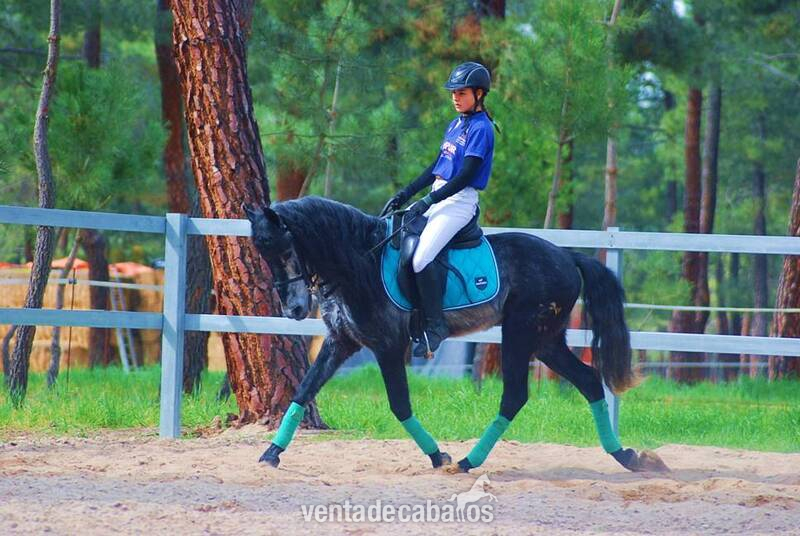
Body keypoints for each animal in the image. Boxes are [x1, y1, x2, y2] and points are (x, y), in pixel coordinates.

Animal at [244, 196, 664, 473]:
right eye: (260, 252)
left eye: (286, 249)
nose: (294, 311)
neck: (359, 262)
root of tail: (567, 256)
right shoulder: (340, 343)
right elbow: (303, 391)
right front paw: (270, 454)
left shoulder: (388, 346)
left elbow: (399, 405)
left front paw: (437, 455)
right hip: (546, 341)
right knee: (589, 381)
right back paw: (626, 457)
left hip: (520, 333)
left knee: (515, 395)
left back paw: (465, 461)